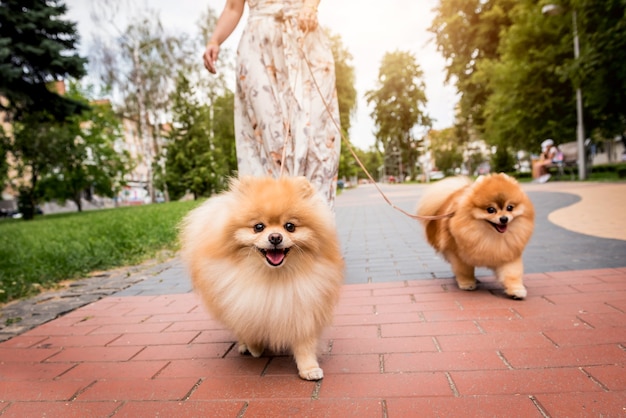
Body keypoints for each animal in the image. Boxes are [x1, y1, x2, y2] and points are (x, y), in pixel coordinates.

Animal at [178, 175, 344, 380]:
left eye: (290, 226)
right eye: (258, 227)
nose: (275, 237)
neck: (272, 276)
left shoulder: (303, 306)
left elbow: (305, 343)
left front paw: (309, 369)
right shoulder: (244, 303)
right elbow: (250, 327)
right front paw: (255, 348)